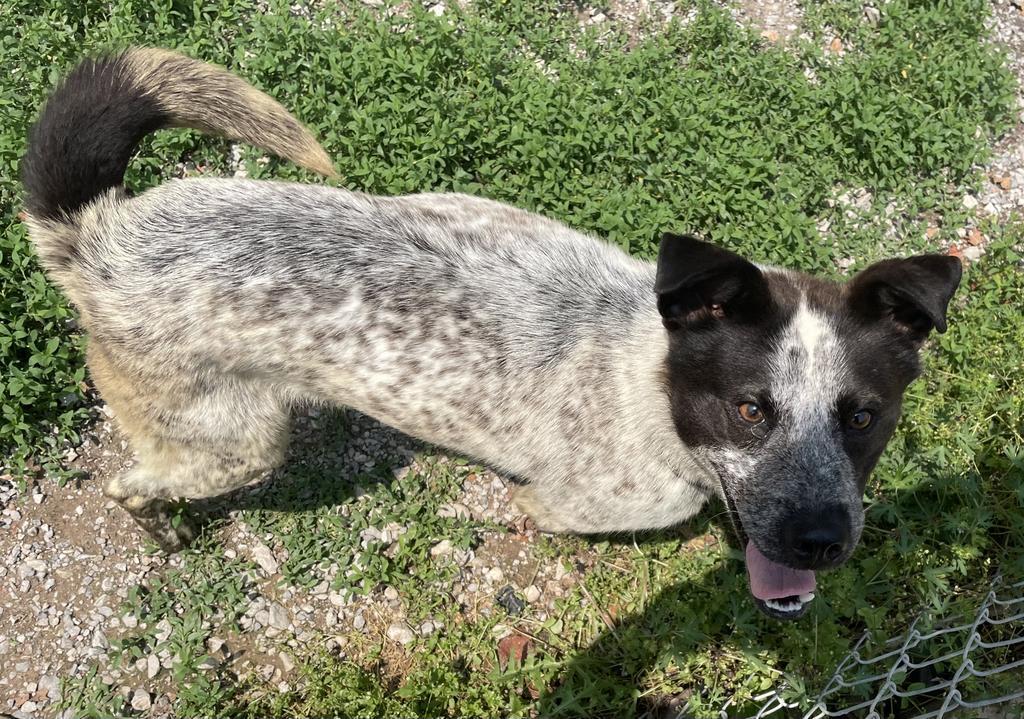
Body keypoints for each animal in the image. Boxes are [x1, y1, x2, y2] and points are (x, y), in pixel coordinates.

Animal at [22, 47, 958, 618]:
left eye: (863, 416)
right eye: (750, 409)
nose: (822, 542)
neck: (647, 376)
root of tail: (97, 237)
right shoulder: (562, 505)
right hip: (234, 446)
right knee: (131, 485)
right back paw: (165, 531)